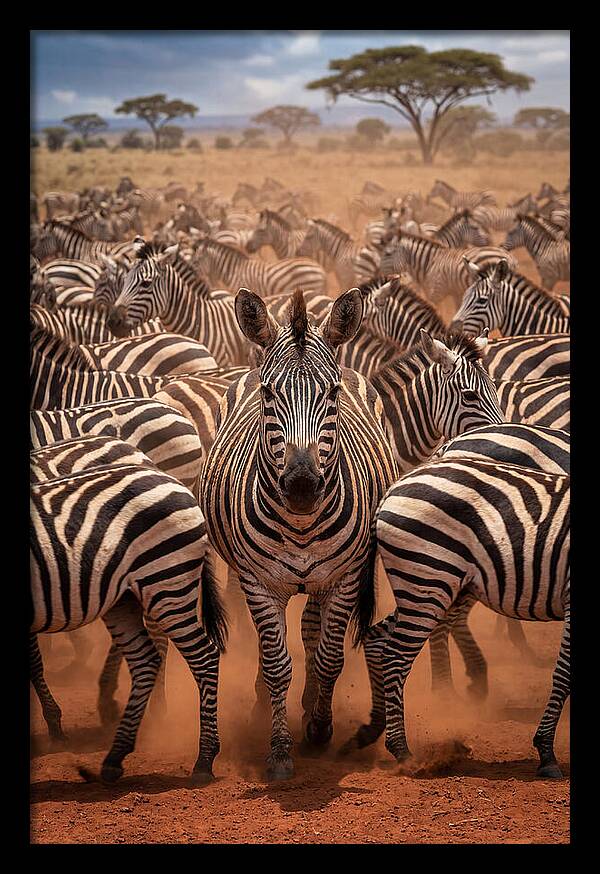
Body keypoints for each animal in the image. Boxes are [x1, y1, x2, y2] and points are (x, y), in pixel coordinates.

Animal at [31, 449, 228, 783]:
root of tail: (174, 481)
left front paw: (54, 726)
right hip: (125, 599)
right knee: (145, 660)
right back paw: (115, 755)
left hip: (166, 581)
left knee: (203, 657)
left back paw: (204, 759)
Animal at [201, 287, 399, 780]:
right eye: (269, 394)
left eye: (332, 394)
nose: (303, 487)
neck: (302, 525)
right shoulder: (258, 582)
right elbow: (275, 663)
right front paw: (279, 749)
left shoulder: (346, 577)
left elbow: (329, 656)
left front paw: (319, 729)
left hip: (325, 579)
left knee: (312, 628)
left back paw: (311, 705)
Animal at [354, 457, 569, 779]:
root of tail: (395, 487)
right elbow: (564, 674)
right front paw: (546, 752)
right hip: (428, 578)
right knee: (395, 656)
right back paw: (402, 752)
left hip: (425, 586)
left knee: (376, 638)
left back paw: (372, 728)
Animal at [379, 232, 517, 310]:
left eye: (387, 253)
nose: (378, 274)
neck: (429, 263)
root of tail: (509, 257)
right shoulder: (456, 293)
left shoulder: (436, 293)